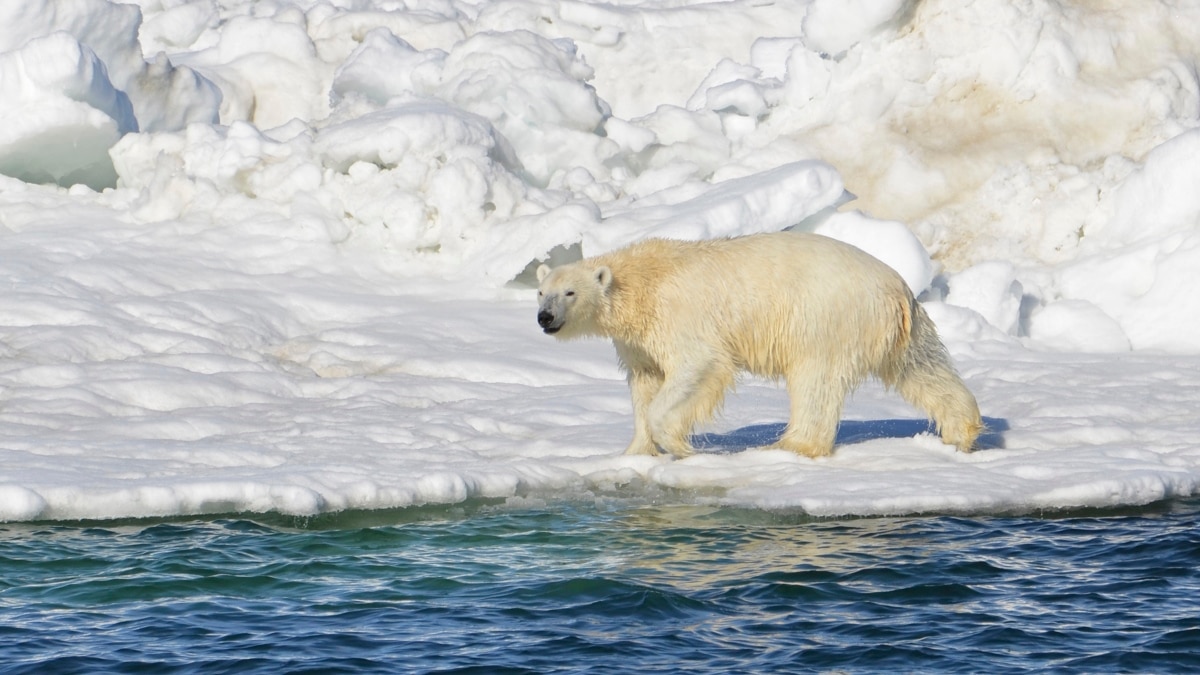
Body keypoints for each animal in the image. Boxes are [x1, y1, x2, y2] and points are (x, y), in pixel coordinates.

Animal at [537, 230, 984, 456]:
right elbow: (645, 381)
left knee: (815, 381)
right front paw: (635, 452)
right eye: (542, 292)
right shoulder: (639, 340)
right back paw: (960, 432)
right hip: (901, 329)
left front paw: (679, 445)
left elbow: (698, 366)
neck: (643, 282)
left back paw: (791, 445)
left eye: (569, 293)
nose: (545, 318)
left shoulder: (680, 316)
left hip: (825, 317)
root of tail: (897, 289)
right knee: (923, 369)